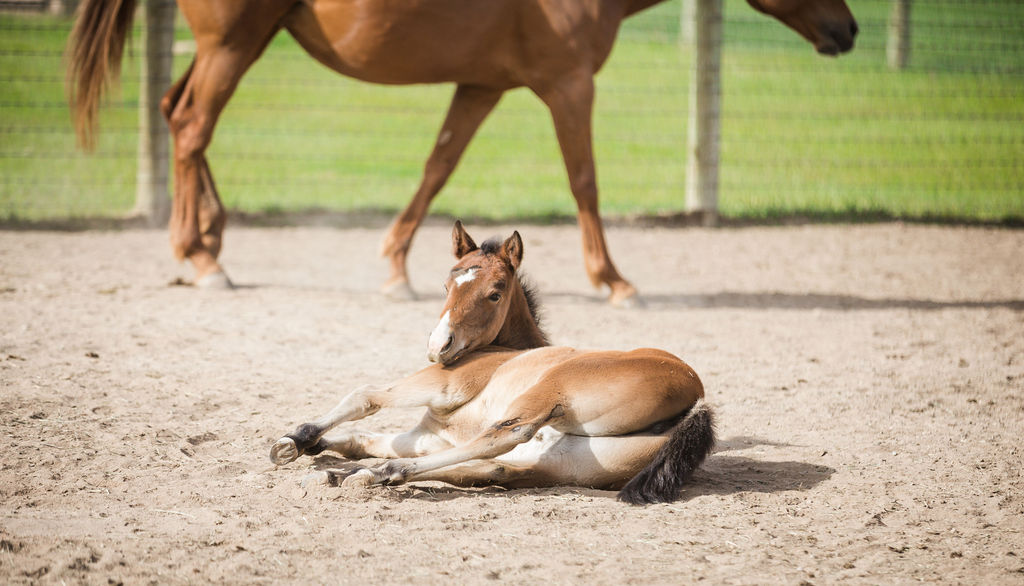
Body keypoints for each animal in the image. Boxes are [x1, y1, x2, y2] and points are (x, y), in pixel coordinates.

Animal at [68, 0, 860, 305]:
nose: (849, 28)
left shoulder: (481, 86)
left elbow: (437, 166)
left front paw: (394, 266)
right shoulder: (568, 86)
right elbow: (585, 183)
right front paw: (614, 280)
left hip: (244, 41)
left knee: (175, 114)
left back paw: (208, 235)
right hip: (233, 43)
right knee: (192, 124)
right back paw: (201, 258)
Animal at [272, 221, 716, 504]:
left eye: (495, 292)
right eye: (447, 283)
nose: (439, 345)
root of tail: (696, 400)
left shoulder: (441, 384)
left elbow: (365, 396)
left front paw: (296, 439)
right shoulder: (428, 436)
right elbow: (362, 440)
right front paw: (319, 451)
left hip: (551, 389)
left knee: (504, 434)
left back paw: (374, 473)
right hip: (563, 462)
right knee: (492, 469)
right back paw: (355, 474)